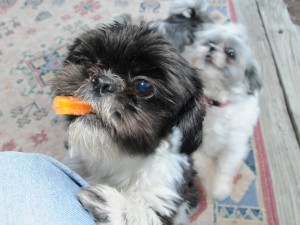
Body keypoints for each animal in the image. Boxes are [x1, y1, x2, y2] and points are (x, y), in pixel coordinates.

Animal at [52, 0, 209, 225]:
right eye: (85, 62)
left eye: (144, 86)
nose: (102, 81)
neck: (114, 158)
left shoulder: (163, 194)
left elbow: (144, 213)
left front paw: (112, 204)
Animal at [185, 22, 262, 200]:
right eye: (210, 42)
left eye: (231, 53)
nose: (211, 48)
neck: (213, 102)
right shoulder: (195, 146)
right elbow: (206, 164)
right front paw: (210, 183)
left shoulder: (234, 146)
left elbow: (225, 168)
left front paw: (220, 189)